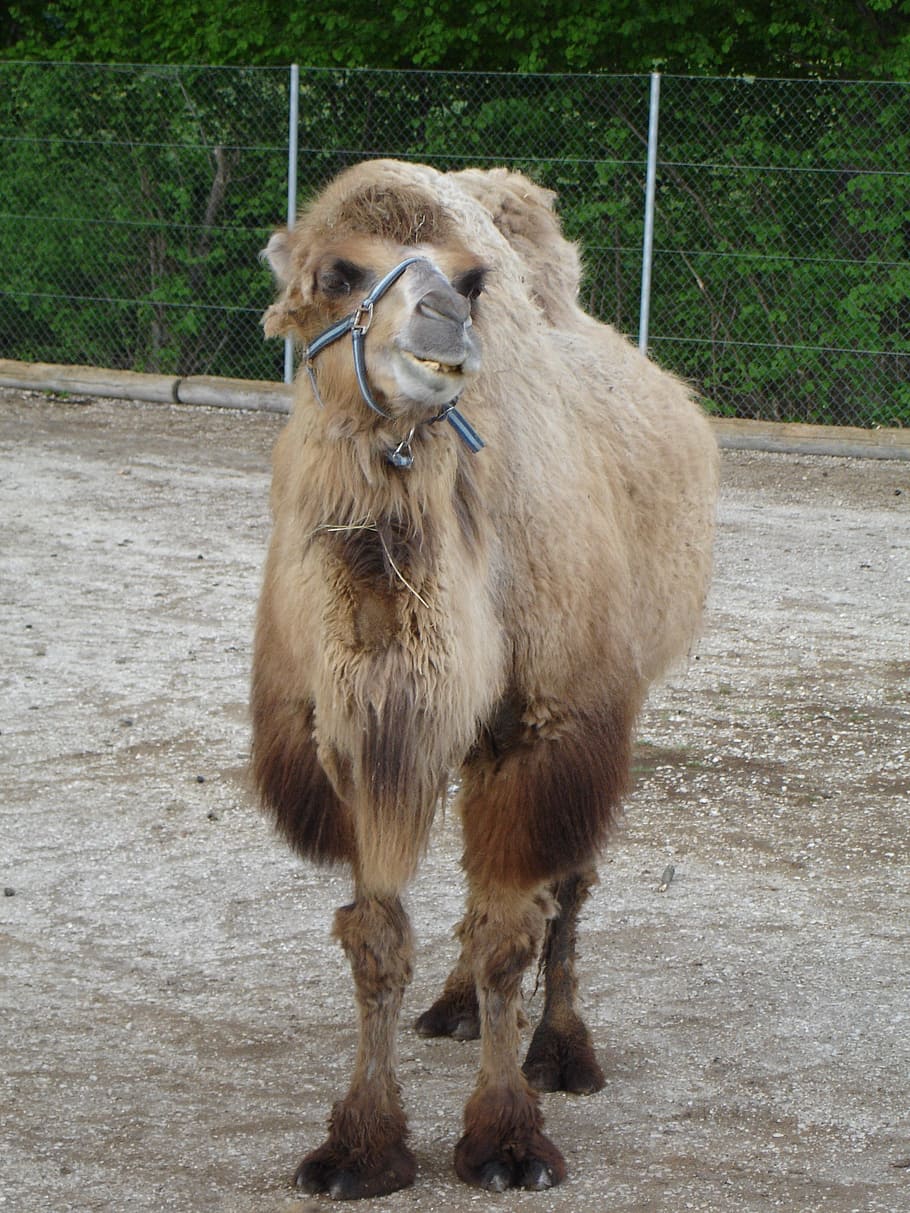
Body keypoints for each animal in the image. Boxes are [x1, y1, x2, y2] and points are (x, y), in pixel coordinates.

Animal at [251, 158, 718, 1199]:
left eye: (469, 280)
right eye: (337, 273)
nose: (442, 324)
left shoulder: (549, 720)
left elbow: (516, 929)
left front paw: (507, 1137)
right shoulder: (354, 731)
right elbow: (376, 936)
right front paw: (360, 1147)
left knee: (565, 886)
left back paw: (563, 1050)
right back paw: (455, 1006)